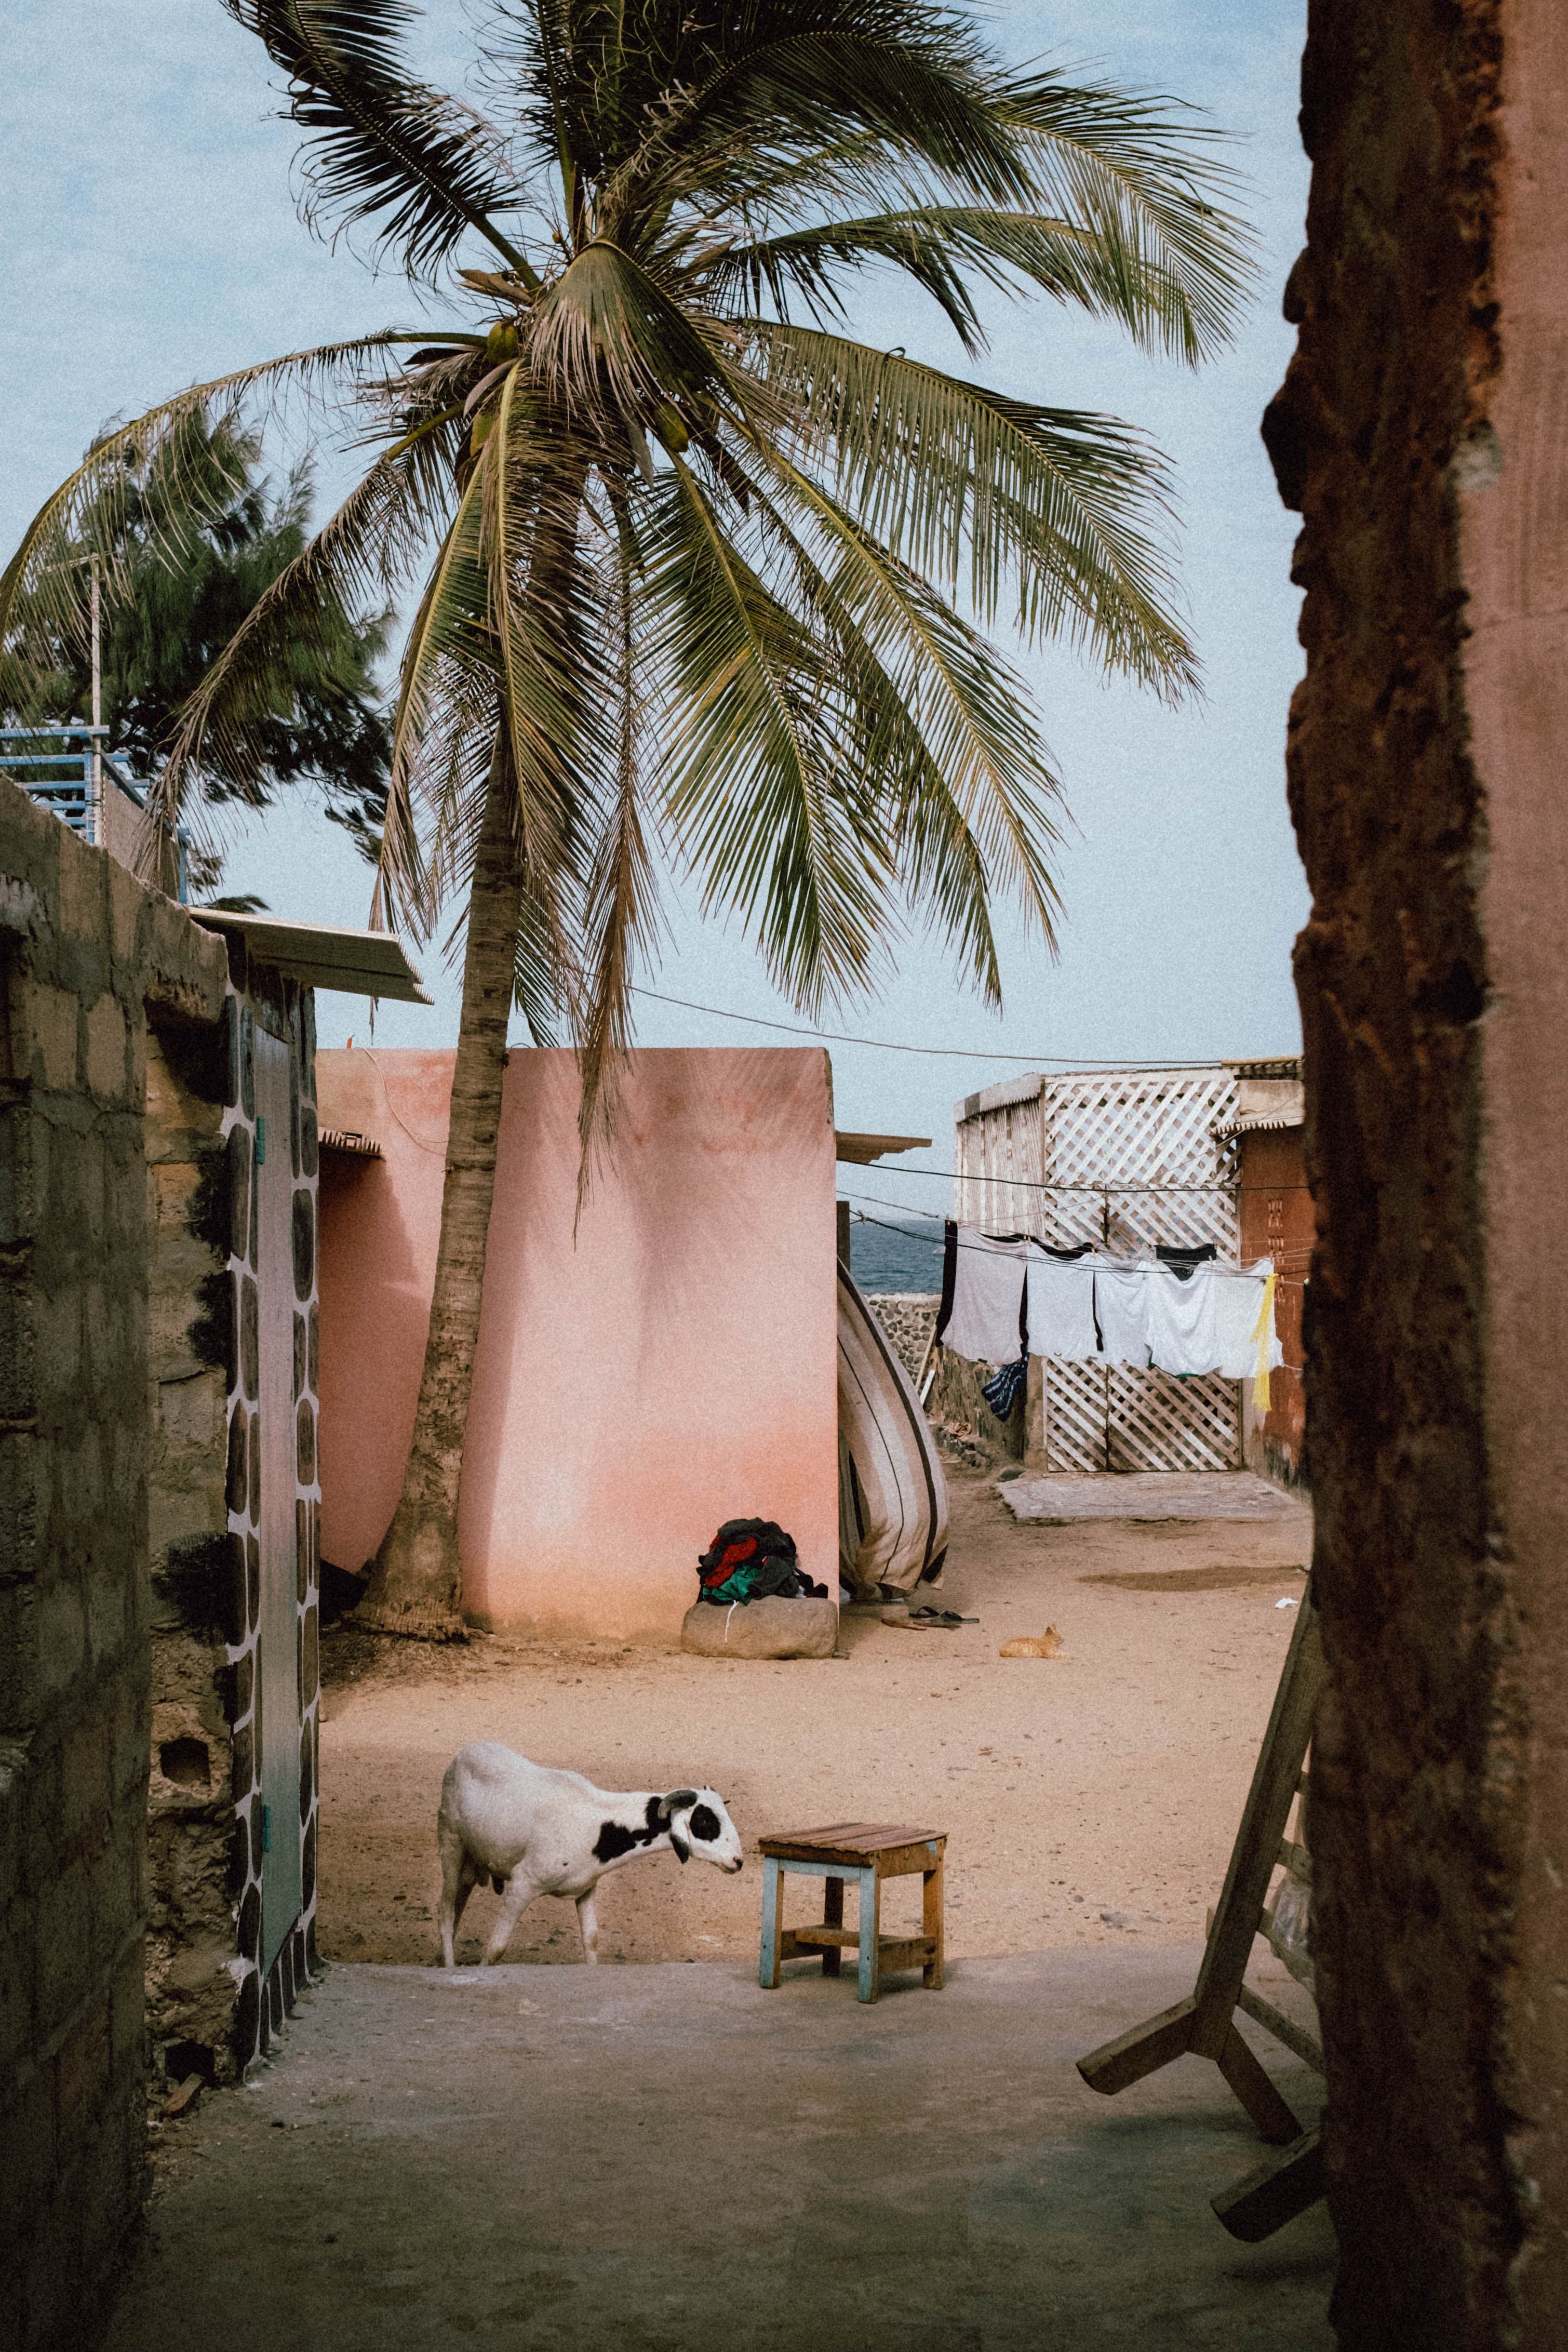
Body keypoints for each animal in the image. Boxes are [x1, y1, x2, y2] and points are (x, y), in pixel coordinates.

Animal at [432, 1740, 747, 1975]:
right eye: (705, 1822)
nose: (738, 1861)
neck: (597, 1822)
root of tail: (465, 1751)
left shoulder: (586, 1888)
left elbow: (591, 1940)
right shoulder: (523, 1885)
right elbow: (496, 1947)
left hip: (471, 1863)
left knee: (457, 1909)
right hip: (451, 1843)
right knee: (446, 1910)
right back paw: (448, 1966)